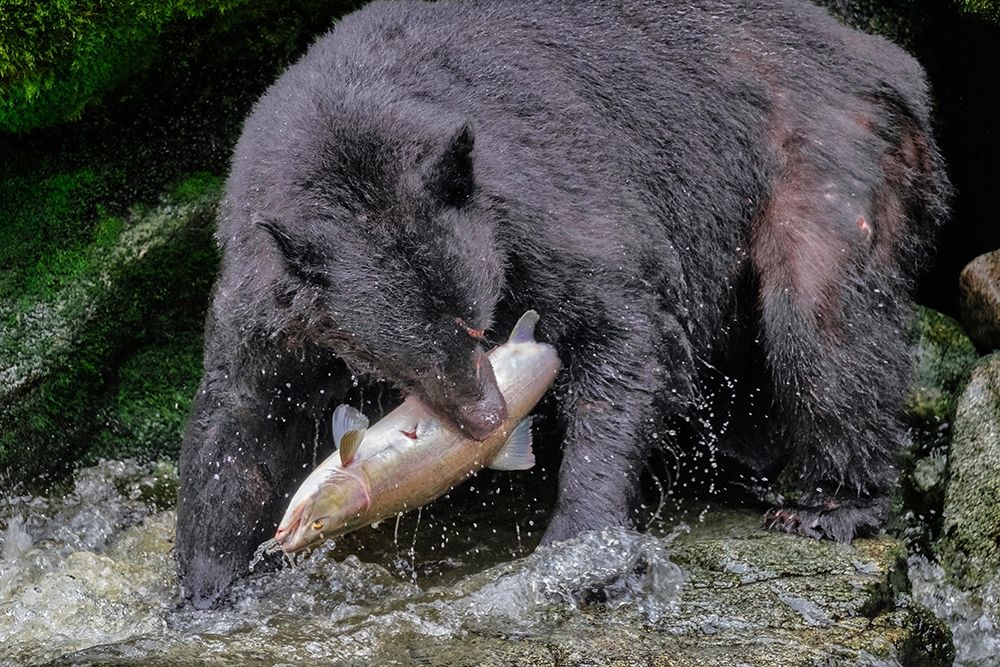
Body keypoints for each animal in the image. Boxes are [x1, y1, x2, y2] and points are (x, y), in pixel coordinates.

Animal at [175, 0, 950, 609]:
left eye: (477, 323)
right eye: (408, 362)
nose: (488, 417)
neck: (347, 132)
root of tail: (879, 53)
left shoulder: (530, 196)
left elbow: (622, 322)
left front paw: (580, 541)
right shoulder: (270, 292)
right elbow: (240, 419)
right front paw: (209, 587)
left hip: (823, 153)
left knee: (822, 324)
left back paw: (828, 504)